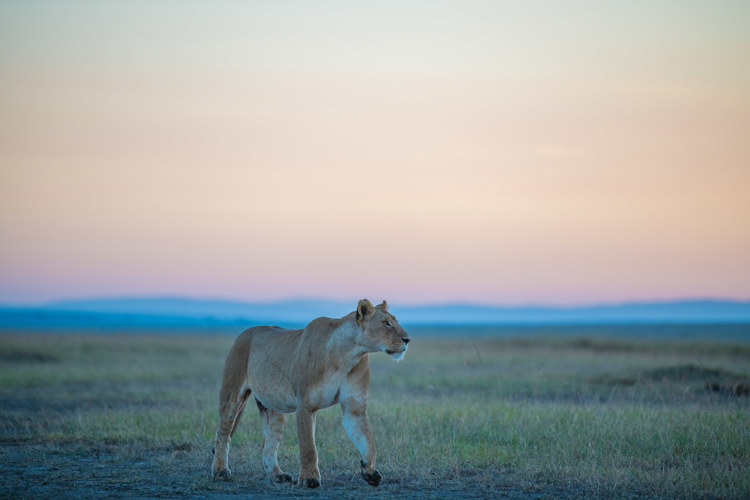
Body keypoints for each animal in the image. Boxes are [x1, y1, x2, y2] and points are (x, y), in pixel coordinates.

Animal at [211, 299, 411, 488]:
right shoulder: (305, 405)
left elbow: (368, 439)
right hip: (232, 396)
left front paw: (370, 471)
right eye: (386, 323)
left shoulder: (354, 407)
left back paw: (278, 475)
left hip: (274, 409)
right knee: (222, 435)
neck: (348, 354)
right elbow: (308, 447)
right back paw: (221, 470)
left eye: (395, 321)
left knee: (267, 446)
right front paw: (309, 479)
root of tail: (244, 332)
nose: (408, 339)